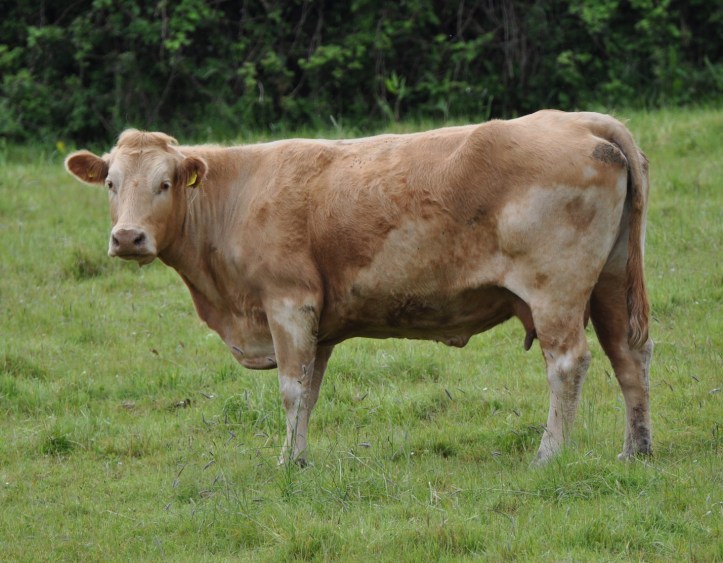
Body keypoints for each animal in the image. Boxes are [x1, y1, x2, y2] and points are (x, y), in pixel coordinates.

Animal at [65, 110, 653, 465]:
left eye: (164, 183)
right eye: (111, 183)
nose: (128, 237)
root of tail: (581, 120)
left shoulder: (288, 303)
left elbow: (291, 389)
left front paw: (286, 463)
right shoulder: (317, 325)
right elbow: (310, 390)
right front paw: (299, 460)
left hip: (556, 290)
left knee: (568, 363)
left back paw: (548, 454)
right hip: (610, 281)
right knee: (629, 356)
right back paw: (635, 451)